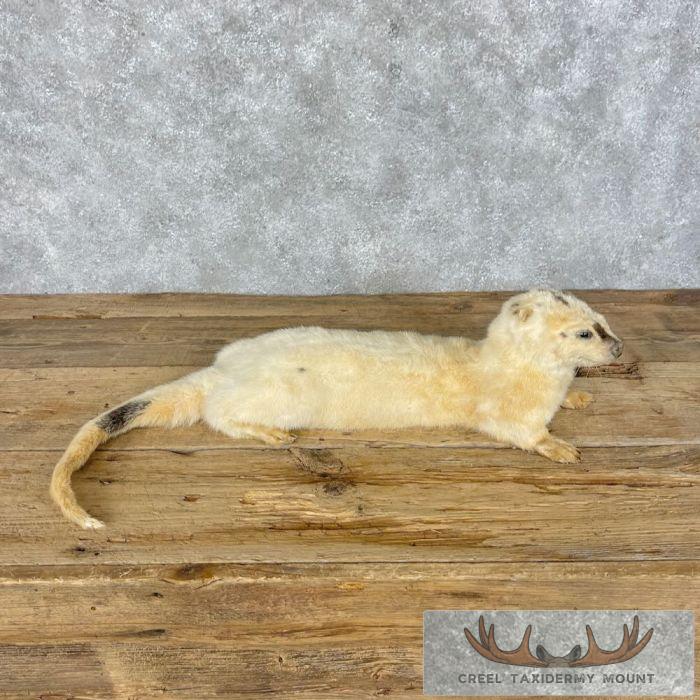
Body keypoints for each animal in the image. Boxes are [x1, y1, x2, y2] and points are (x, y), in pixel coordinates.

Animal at [50, 289, 622, 529]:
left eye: (604, 320)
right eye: (584, 332)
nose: (618, 349)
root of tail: (224, 367)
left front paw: (580, 396)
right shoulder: (501, 413)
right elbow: (521, 432)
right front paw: (561, 447)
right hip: (269, 398)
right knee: (218, 413)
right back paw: (273, 435)